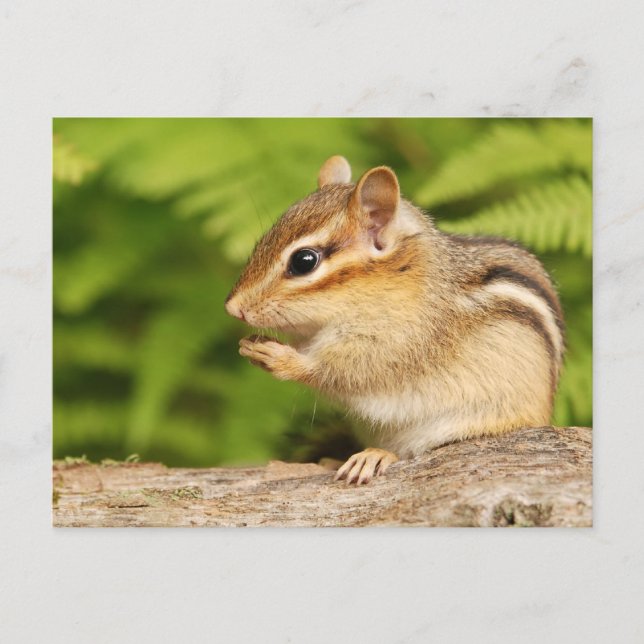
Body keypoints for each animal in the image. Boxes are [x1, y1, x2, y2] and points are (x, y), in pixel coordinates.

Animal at [225, 155, 565, 485]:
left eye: (304, 261)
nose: (233, 308)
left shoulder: (401, 342)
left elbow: (344, 372)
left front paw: (277, 357)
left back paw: (375, 456)